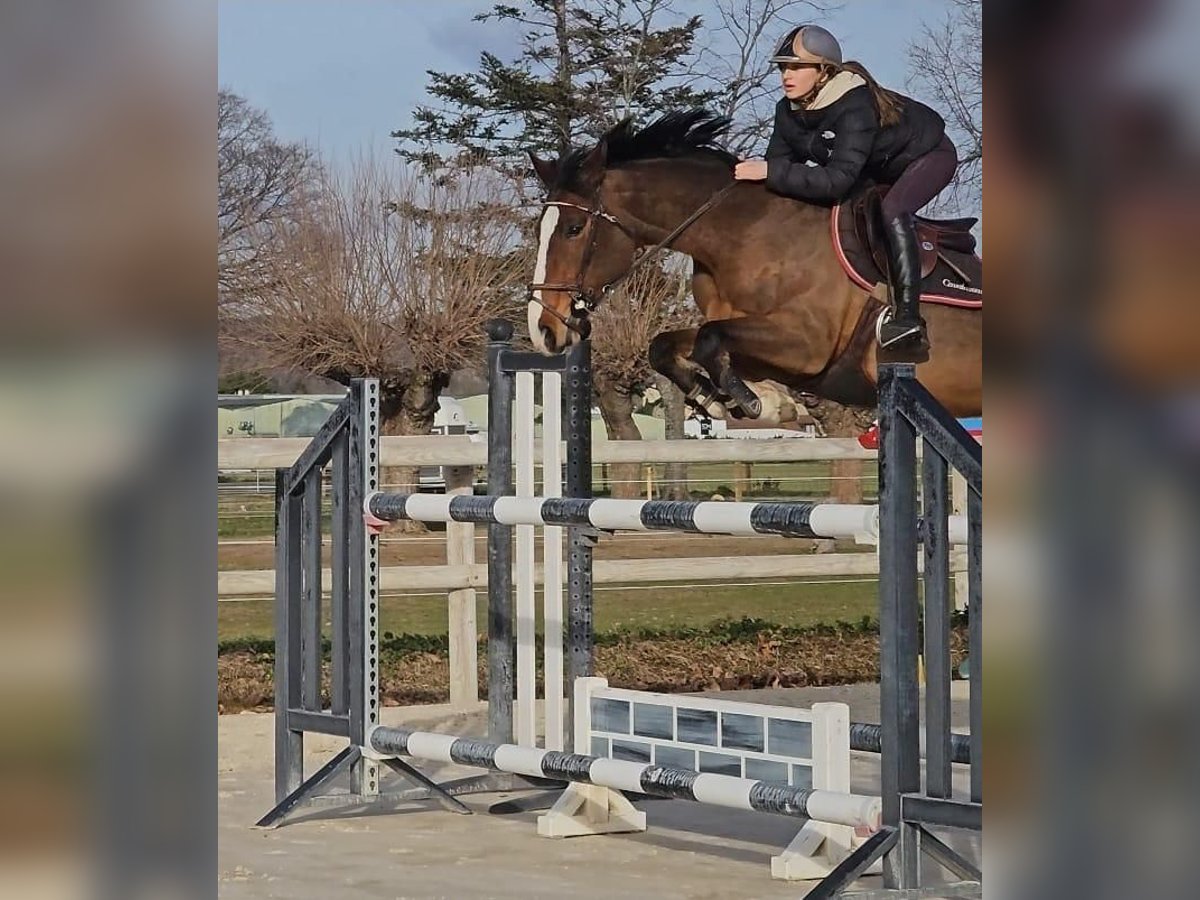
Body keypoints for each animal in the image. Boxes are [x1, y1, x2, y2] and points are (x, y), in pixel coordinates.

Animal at [530, 111, 979, 422]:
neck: (743, 234)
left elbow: (710, 339)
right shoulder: (755, 347)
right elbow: (670, 344)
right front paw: (710, 397)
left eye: (574, 229)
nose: (542, 330)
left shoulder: (807, 344)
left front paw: (749, 402)